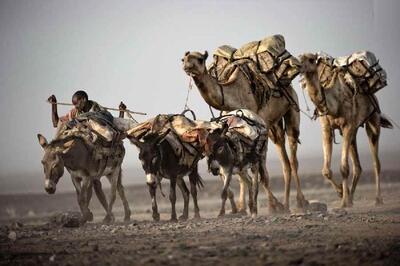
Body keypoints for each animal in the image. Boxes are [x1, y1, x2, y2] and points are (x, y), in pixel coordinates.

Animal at [182, 51, 310, 211]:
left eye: (200, 59)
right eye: (183, 59)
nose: (187, 66)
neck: (235, 95)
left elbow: (262, 174)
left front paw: (272, 206)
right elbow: (239, 170)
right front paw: (242, 207)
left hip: (292, 107)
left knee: (293, 157)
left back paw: (300, 201)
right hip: (274, 126)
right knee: (283, 156)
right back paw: (286, 203)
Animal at [298, 53, 392, 208]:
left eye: (311, 60)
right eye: (298, 57)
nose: (298, 65)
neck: (333, 103)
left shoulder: (347, 126)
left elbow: (344, 168)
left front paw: (343, 201)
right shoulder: (327, 128)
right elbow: (326, 170)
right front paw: (342, 193)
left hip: (373, 120)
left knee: (376, 162)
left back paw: (377, 199)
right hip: (354, 130)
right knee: (358, 166)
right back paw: (351, 198)